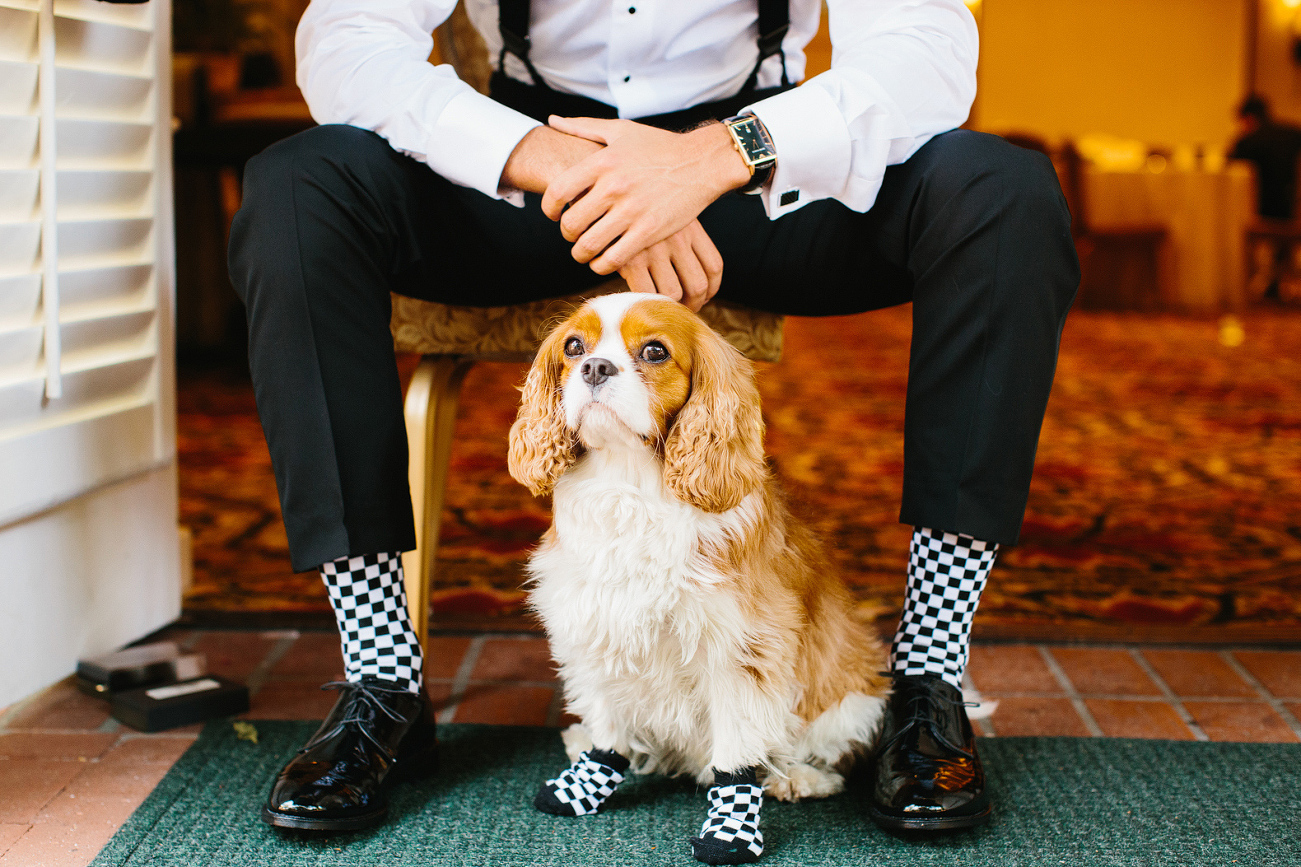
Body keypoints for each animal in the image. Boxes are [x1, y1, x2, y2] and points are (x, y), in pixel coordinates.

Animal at [502, 294, 889, 801]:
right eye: (573, 346)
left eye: (654, 352)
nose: (594, 368)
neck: (628, 484)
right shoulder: (593, 619)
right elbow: (607, 719)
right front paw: (592, 774)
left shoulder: (740, 648)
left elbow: (736, 746)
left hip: (850, 701)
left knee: (817, 745)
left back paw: (798, 777)